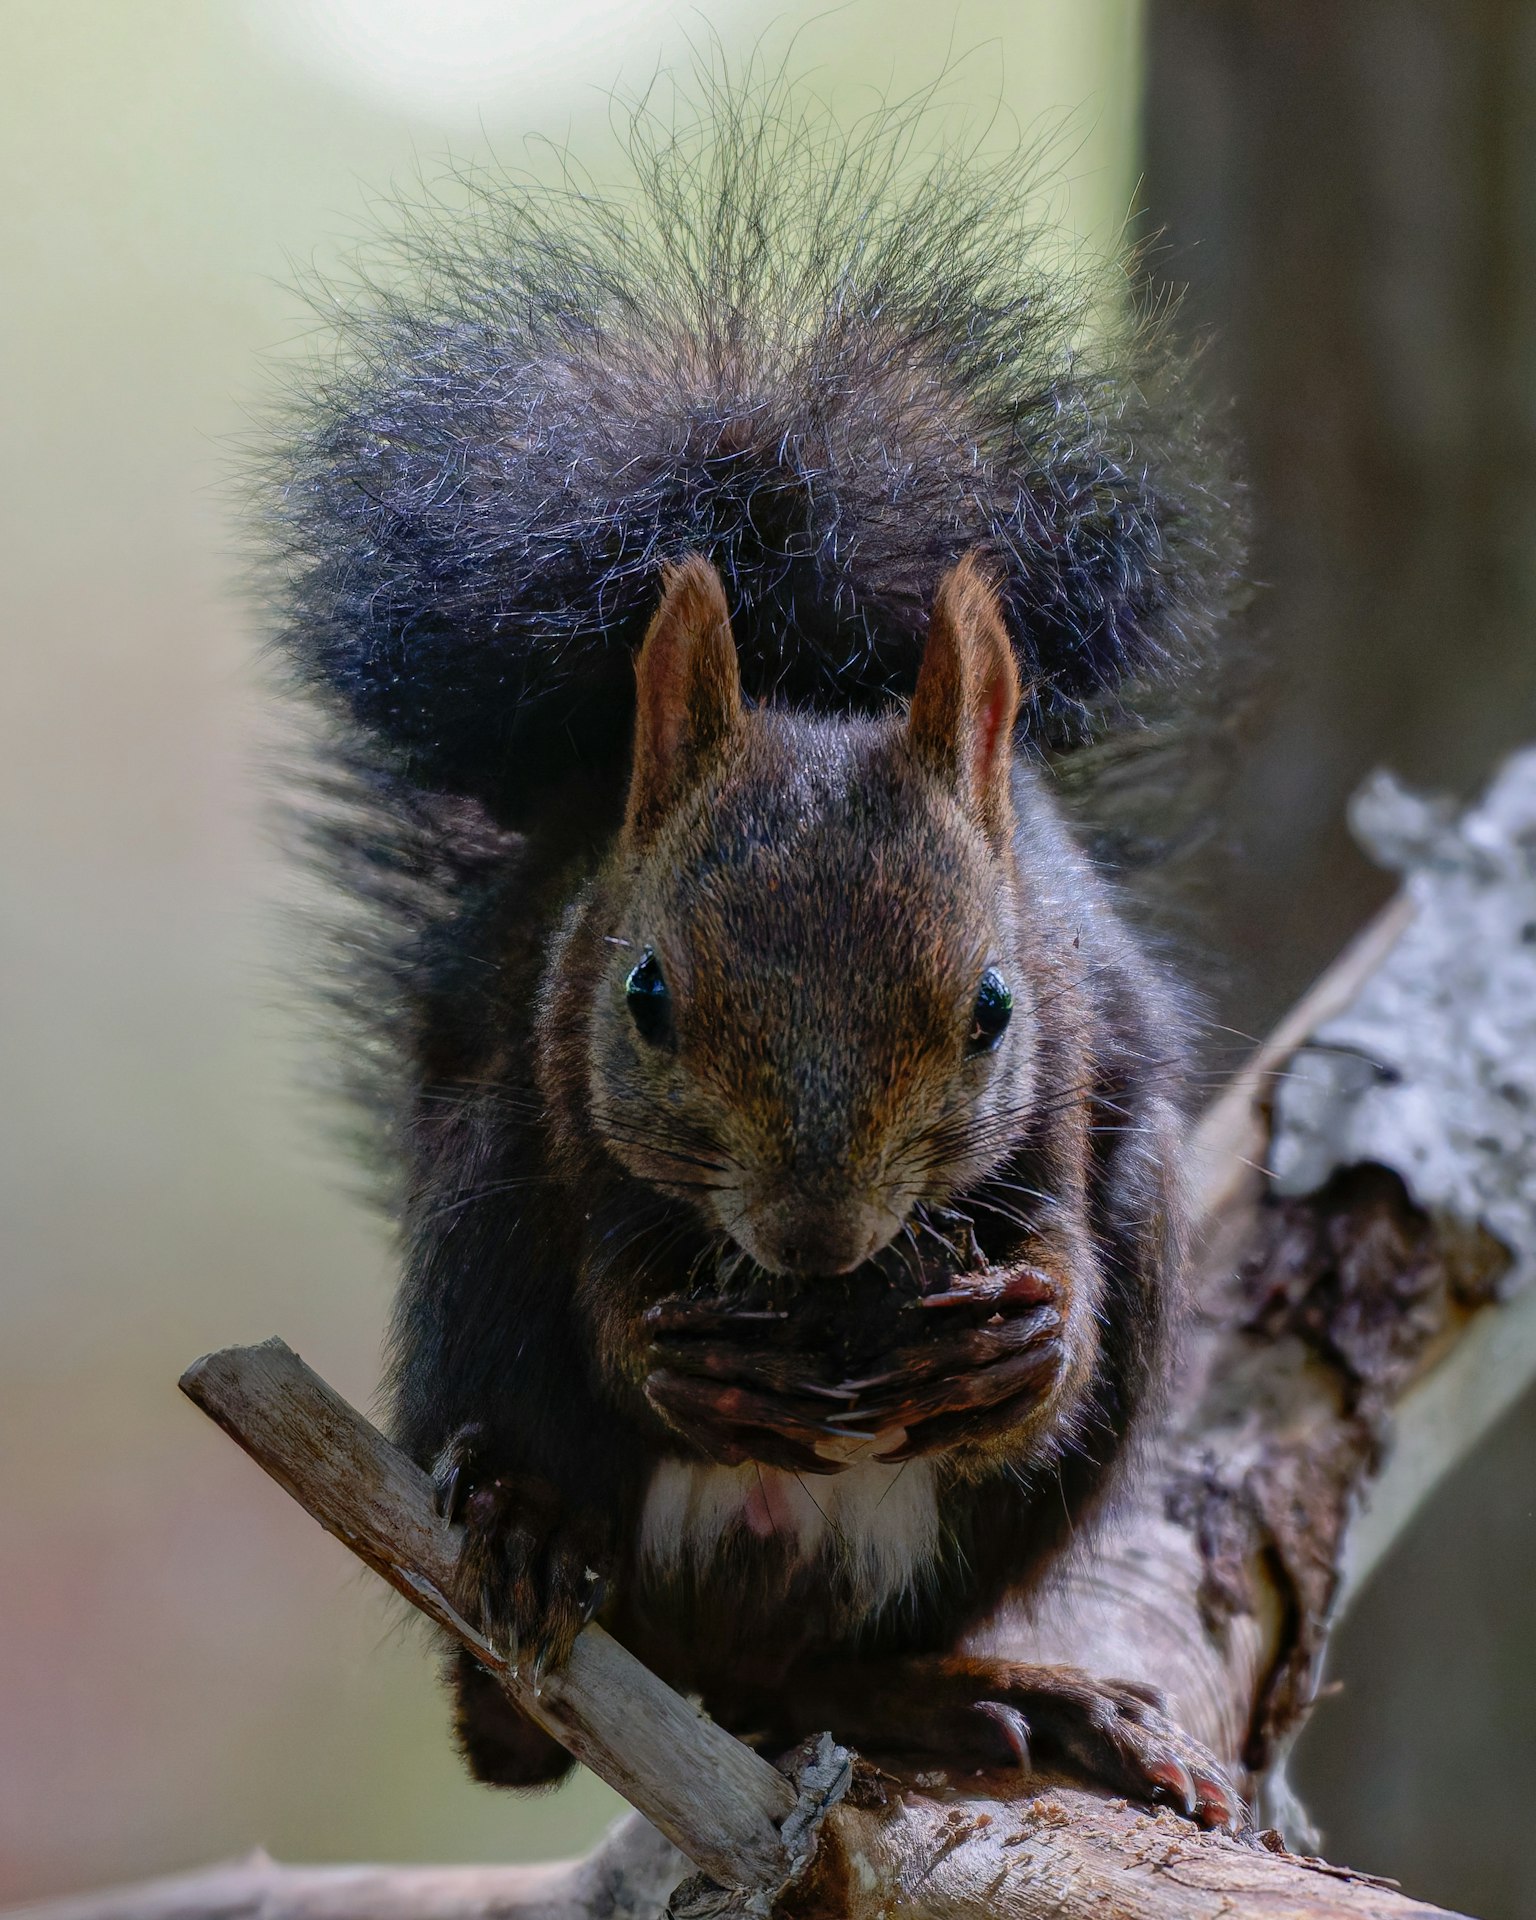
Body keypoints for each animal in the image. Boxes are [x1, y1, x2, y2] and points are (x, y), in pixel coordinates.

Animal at [265, 85, 1245, 1828]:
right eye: (644, 996)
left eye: (995, 1006)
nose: (813, 1238)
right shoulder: (555, 1058)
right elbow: (605, 1287)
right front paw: (672, 1358)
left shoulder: (1077, 1073)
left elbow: (1054, 1272)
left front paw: (1027, 1341)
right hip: (472, 1253)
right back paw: (535, 1532)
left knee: (809, 1676)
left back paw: (998, 1700)